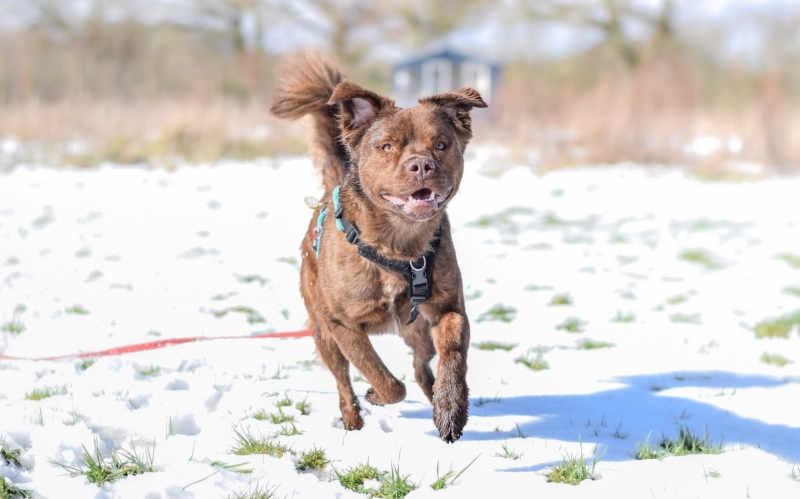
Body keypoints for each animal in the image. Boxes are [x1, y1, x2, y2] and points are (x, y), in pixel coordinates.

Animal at [270, 51, 488, 446]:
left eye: (441, 144)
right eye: (386, 146)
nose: (421, 165)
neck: (398, 246)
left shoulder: (449, 309)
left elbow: (453, 357)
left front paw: (450, 408)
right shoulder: (341, 324)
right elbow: (381, 376)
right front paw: (376, 395)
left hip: (417, 329)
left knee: (422, 364)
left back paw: (433, 393)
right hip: (323, 334)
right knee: (343, 379)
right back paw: (352, 417)